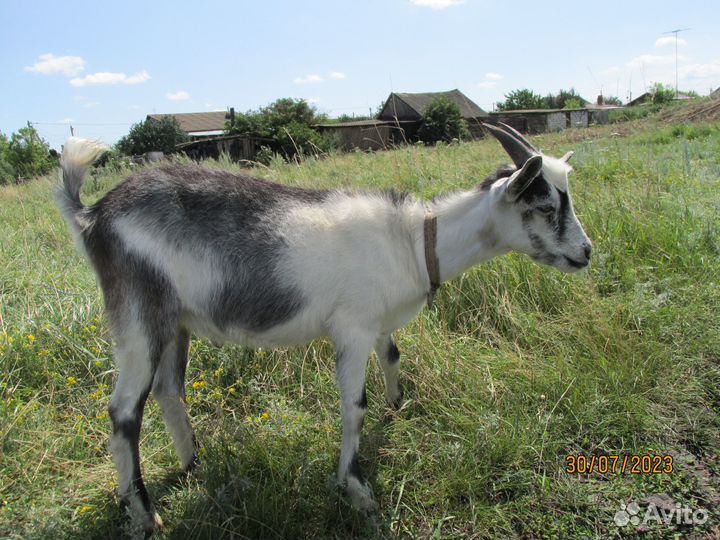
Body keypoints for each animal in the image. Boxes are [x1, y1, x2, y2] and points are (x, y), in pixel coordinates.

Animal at [57, 123, 591, 533]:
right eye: (545, 207)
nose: (585, 253)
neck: (415, 241)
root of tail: (92, 215)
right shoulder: (352, 327)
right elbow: (354, 405)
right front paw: (355, 488)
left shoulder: (377, 320)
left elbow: (392, 357)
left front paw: (398, 409)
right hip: (138, 313)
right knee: (124, 411)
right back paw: (143, 514)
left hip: (176, 321)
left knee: (169, 391)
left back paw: (193, 464)